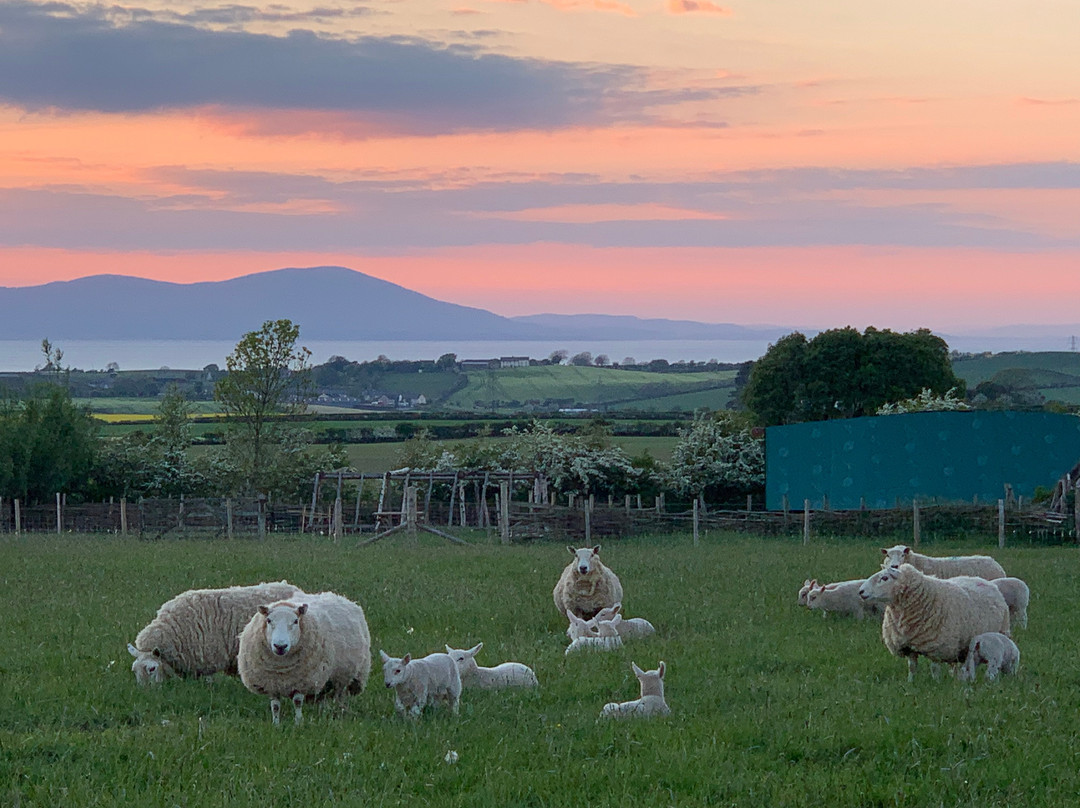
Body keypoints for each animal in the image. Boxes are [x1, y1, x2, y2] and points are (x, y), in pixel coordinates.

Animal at [236, 591, 371, 730]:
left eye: (296, 621)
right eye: (268, 620)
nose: (280, 646)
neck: (281, 668)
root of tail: (339, 596)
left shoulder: (303, 682)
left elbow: (297, 702)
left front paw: (298, 723)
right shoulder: (271, 684)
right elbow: (275, 706)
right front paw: (276, 724)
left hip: (346, 677)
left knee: (340, 696)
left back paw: (339, 713)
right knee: (323, 697)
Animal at [855, 561, 1006, 682]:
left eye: (884, 578)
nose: (860, 591)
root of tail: (984, 581)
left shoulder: (936, 646)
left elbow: (934, 668)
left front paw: (936, 683)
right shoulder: (907, 645)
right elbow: (912, 667)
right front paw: (910, 682)